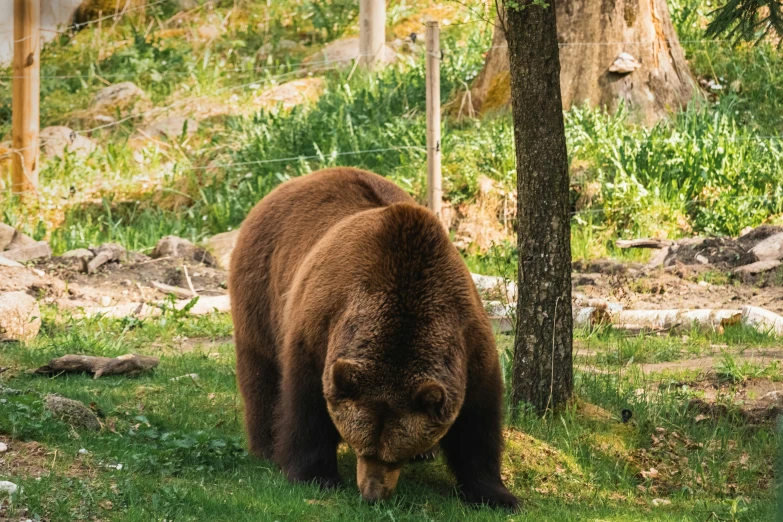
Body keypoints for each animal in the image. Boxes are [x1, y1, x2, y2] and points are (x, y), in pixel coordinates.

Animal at [230, 167, 516, 508]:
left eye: (395, 457)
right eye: (362, 449)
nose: (372, 494)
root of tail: (296, 181)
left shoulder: (468, 340)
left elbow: (478, 425)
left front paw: (496, 494)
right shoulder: (319, 330)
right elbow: (306, 407)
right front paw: (314, 475)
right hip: (263, 287)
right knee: (260, 370)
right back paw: (266, 445)